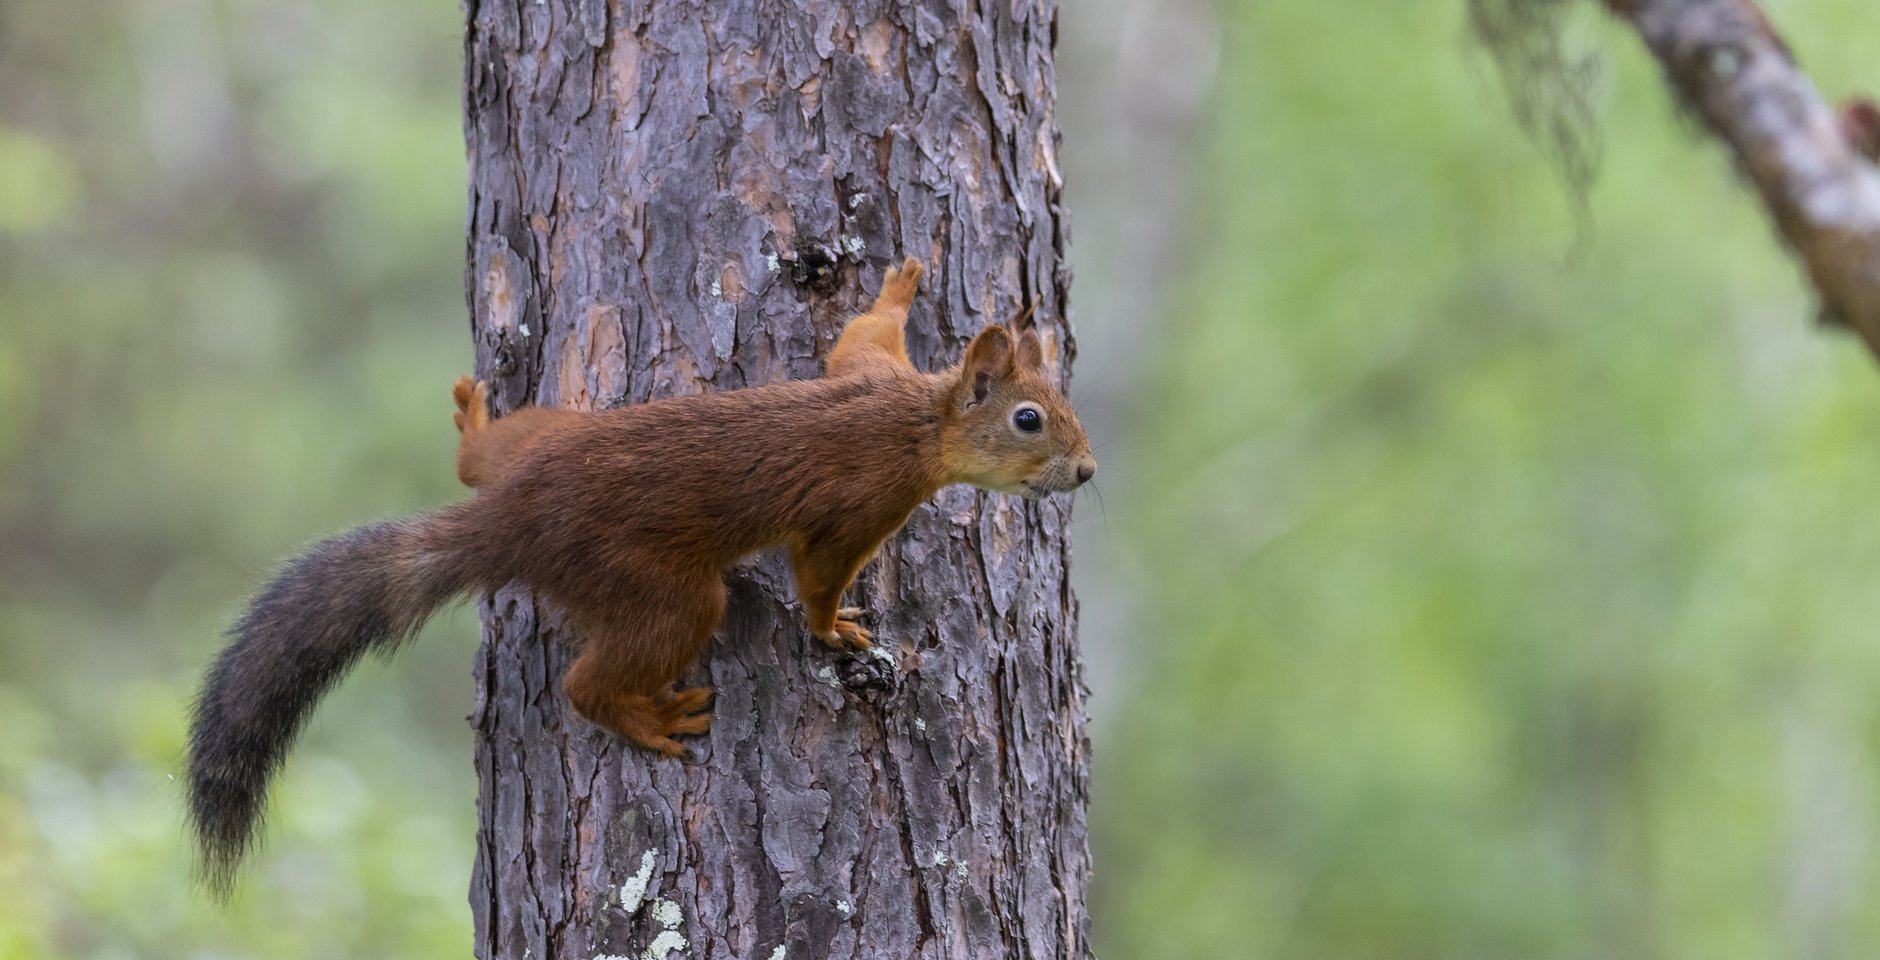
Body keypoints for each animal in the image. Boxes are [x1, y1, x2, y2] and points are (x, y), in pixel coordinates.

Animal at [183, 259, 1097, 898]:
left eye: (1062, 404)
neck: (916, 421)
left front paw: (899, 286)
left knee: (483, 463)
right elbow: (819, 573)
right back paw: (648, 718)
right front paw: (833, 627)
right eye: (1029, 419)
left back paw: (475, 429)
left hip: (547, 433)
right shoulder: (862, 504)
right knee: (590, 681)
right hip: (663, 592)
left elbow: (860, 336)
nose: (1087, 473)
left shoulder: (871, 373)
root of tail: (514, 520)